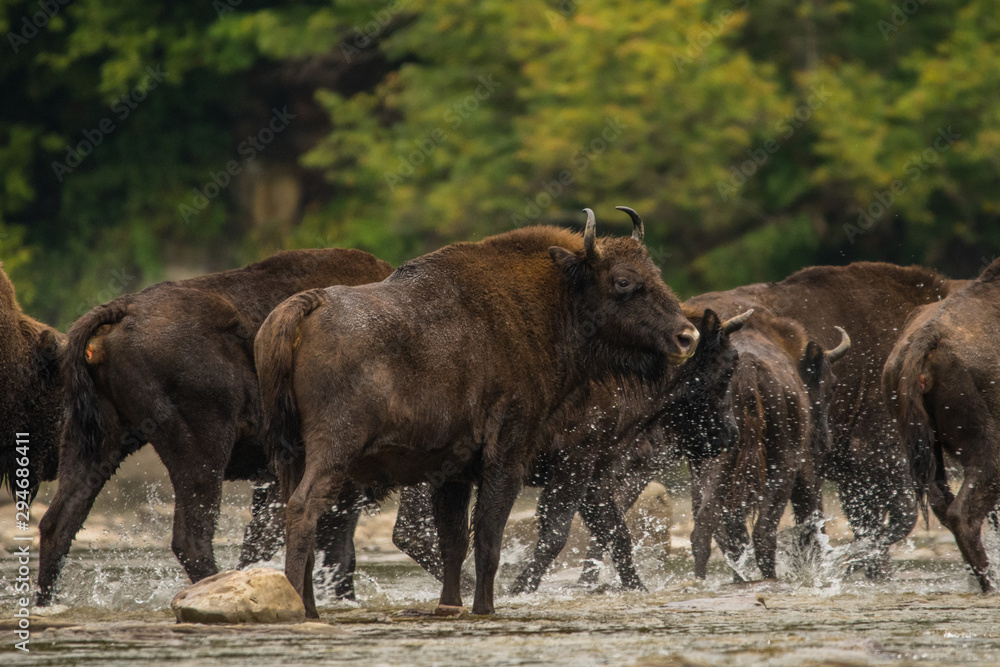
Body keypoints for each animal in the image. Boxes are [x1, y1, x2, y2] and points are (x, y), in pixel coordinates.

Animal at [37, 249, 392, 605]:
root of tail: (122, 310)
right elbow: (335, 551)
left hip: (94, 439)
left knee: (57, 524)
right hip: (202, 447)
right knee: (191, 538)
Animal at [254, 210, 699, 617]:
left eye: (654, 271)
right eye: (623, 280)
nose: (687, 336)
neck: (547, 302)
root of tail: (308, 304)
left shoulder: (451, 471)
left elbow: (454, 541)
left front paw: (449, 605)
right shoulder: (508, 457)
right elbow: (488, 537)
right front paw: (485, 607)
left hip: (289, 455)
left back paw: (310, 606)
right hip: (333, 451)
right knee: (303, 509)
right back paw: (302, 607)